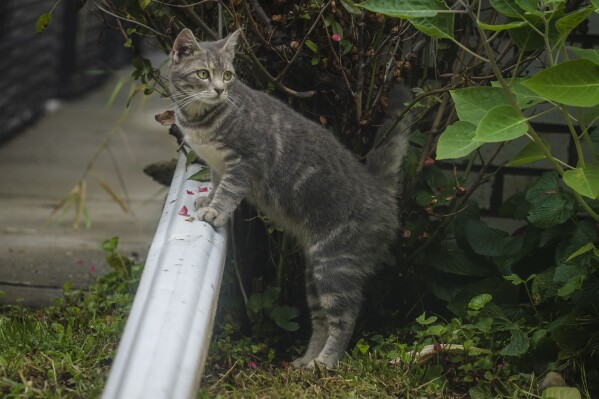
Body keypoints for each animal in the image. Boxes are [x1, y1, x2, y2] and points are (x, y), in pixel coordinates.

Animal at [169, 29, 412, 370]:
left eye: (227, 75)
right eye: (203, 74)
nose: (218, 89)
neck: (200, 120)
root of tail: (379, 190)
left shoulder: (246, 161)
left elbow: (229, 189)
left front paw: (215, 212)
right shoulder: (219, 165)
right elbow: (217, 183)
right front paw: (208, 202)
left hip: (335, 265)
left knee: (344, 320)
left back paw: (325, 363)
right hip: (314, 276)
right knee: (321, 321)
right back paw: (307, 361)